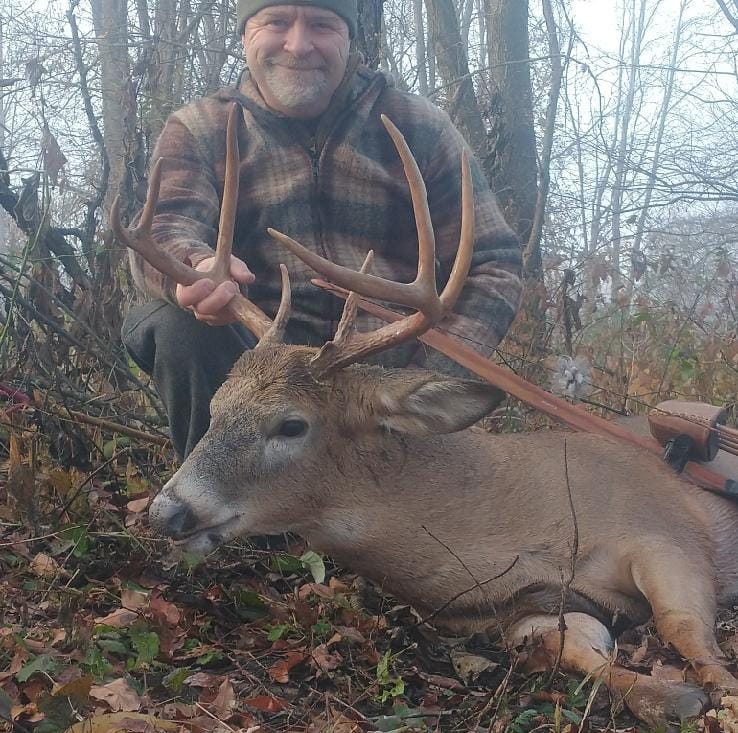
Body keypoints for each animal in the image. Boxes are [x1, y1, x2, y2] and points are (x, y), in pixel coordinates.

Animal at [114, 104, 738, 727]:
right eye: (216, 408)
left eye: (291, 424)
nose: (167, 511)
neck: (521, 527)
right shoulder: (522, 609)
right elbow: (573, 649)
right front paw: (668, 696)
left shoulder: (665, 530)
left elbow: (684, 628)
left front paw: (719, 695)